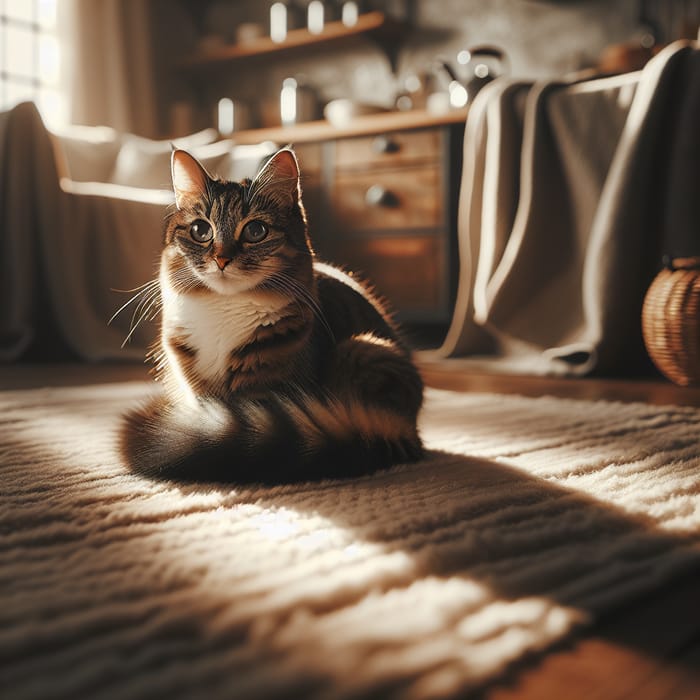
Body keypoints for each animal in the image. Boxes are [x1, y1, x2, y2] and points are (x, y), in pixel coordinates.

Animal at [121, 146, 424, 486]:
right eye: (201, 230)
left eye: (255, 231)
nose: (222, 259)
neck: (224, 310)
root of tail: (407, 429)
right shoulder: (197, 390)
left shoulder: (267, 390)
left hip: (361, 349)